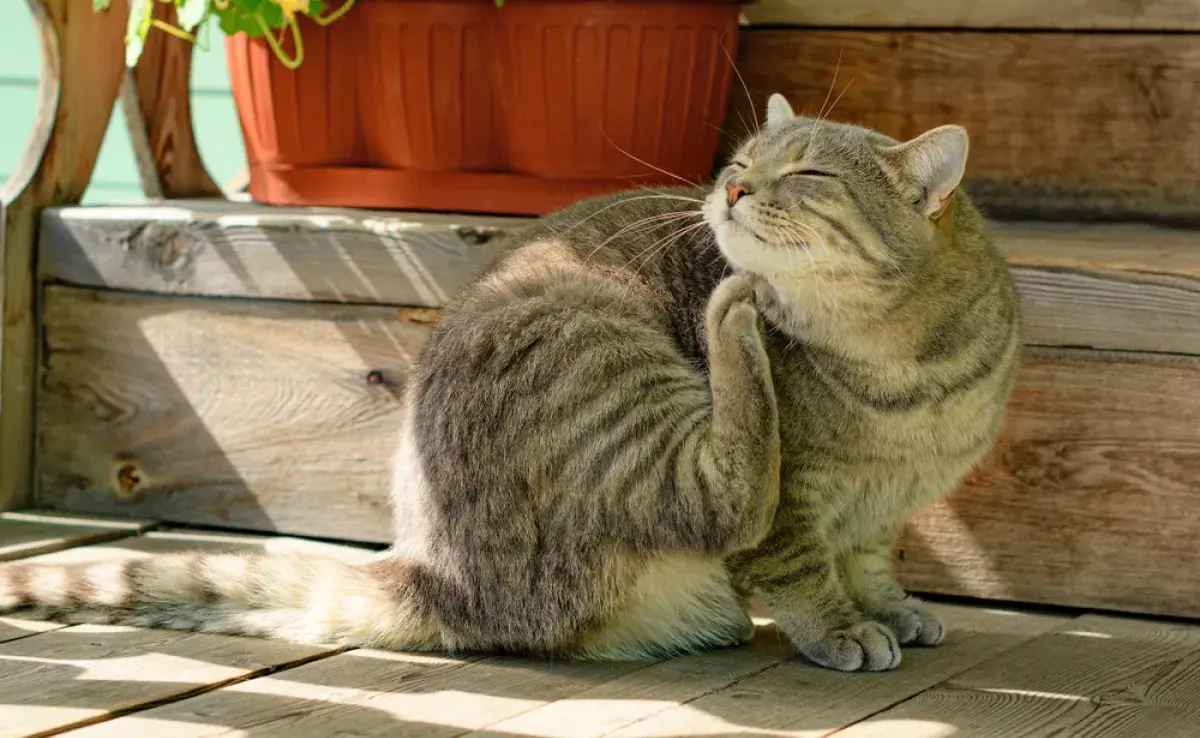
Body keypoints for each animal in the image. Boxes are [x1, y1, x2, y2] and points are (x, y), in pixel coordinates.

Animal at [0, 92, 1017, 672]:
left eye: (804, 173)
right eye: (737, 164)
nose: (728, 193)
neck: (907, 377)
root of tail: (434, 573)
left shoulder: (887, 511)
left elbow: (870, 562)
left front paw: (890, 610)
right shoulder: (799, 510)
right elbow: (802, 569)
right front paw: (840, 628)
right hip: (605, 345)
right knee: (724, 490)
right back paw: (731, 316)